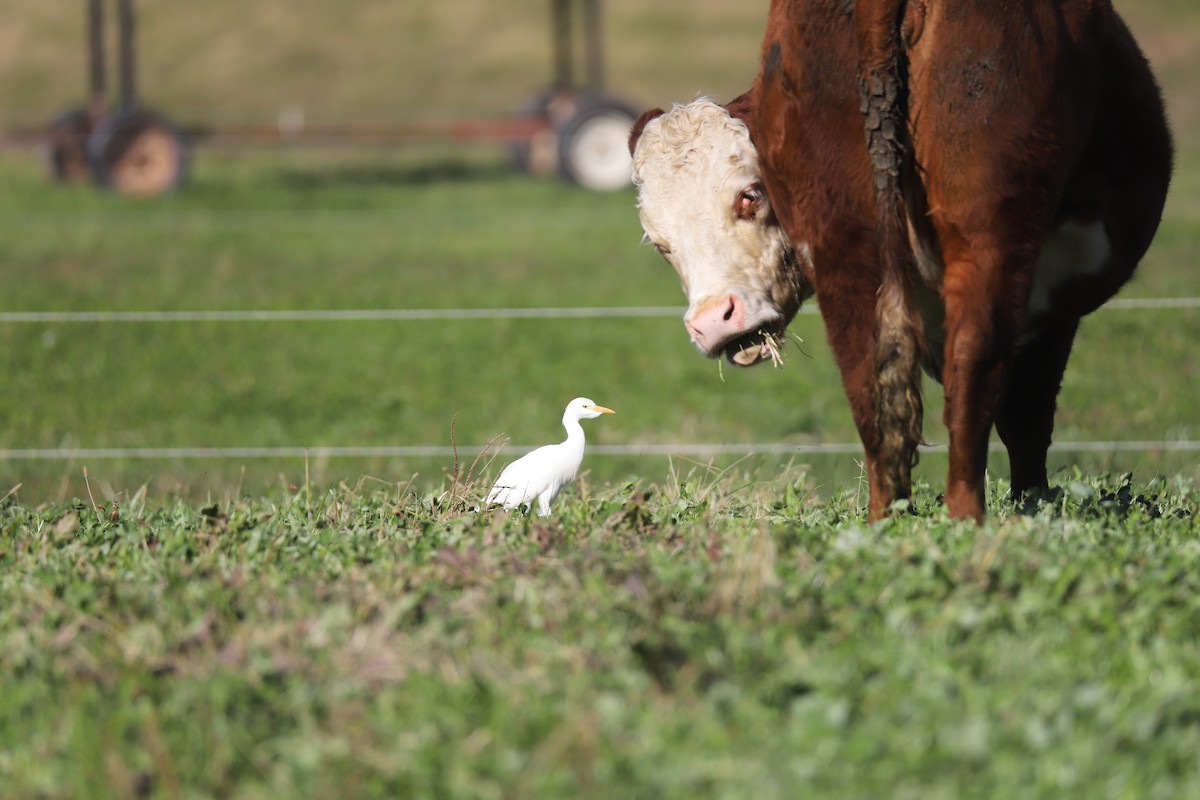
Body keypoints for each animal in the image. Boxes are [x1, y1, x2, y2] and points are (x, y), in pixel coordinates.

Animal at [630, 0, 1173, 521]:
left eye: (751, 195)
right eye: (660, 244)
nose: (713, 323)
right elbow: (1026, 417)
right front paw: (1032, 505)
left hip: (846, 248)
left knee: (869, 387)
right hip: (989, 235)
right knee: (973, 374)